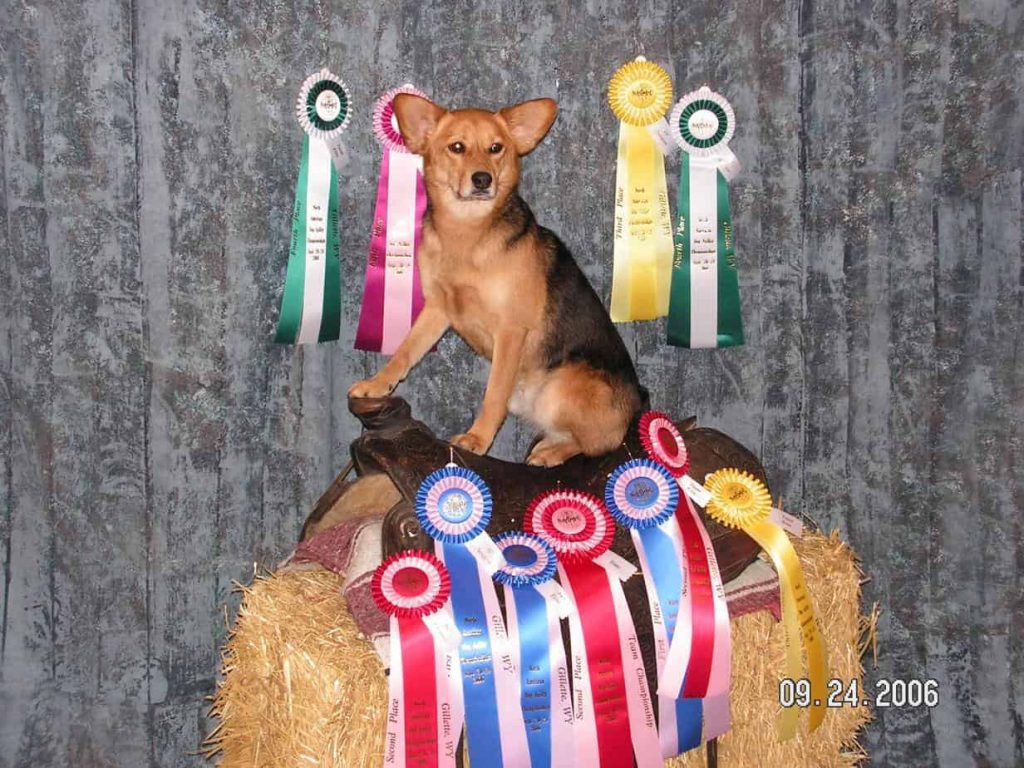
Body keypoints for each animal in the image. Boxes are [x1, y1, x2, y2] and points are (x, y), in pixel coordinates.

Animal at [348, 93, 643, 466]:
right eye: (457, 147)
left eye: (496, 148)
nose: (482, 179)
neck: (467, 234)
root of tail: (639, 404)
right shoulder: (438, 309)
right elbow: (405, 351)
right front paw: (378, 383)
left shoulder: (510, 331)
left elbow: (493, 394)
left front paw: (477, 438)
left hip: (558, 389)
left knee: (602, 443)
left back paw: (552, 452)